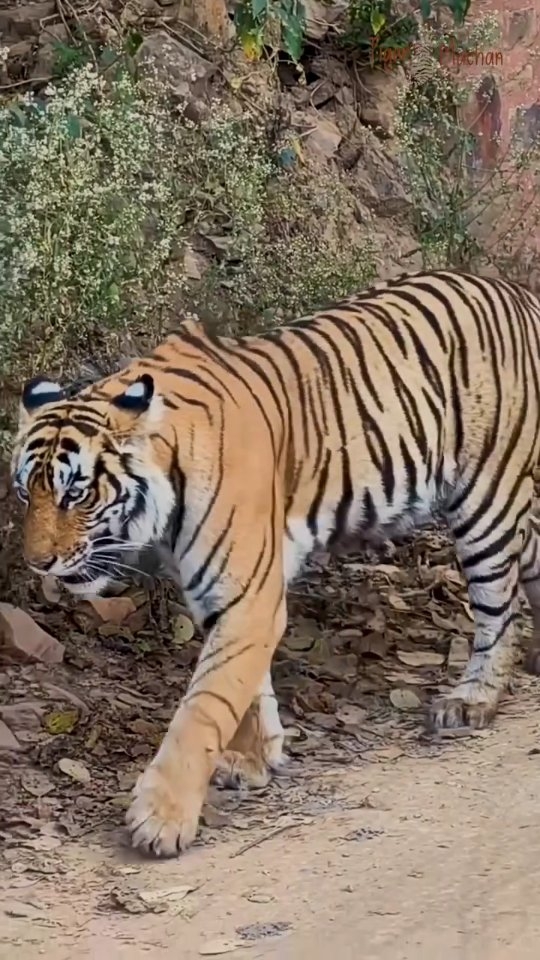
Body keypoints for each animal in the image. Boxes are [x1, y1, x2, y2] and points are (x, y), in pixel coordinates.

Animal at [11, 269, 540, 858]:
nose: (38, 562)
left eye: (75, 494)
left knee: (500, 608)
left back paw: (472, 701)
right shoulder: (225, 596)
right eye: (25, 492)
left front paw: (162, 817)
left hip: (486, 499)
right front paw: (254, 759)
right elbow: (247, 689)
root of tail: (516, 291)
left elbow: (205, 706)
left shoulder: (247, 595)